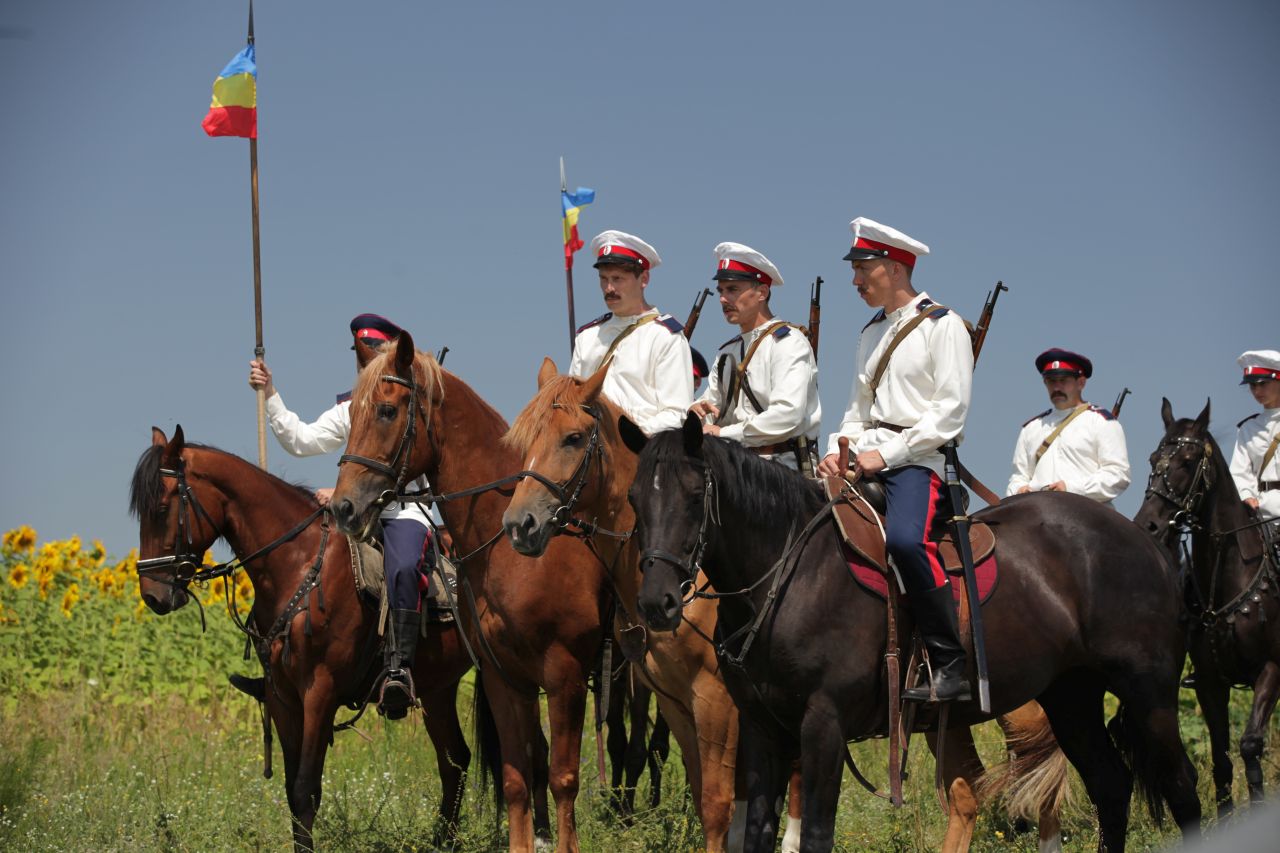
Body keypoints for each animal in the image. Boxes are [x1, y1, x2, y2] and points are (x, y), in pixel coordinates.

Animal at [129, 427, 476, 845]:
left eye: (163, 508)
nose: (153, 595)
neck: (298, 563)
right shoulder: (283, 698)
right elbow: (293, 791)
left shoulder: (319, 693)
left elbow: (305, 789)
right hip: (438, 688)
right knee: (454, 760)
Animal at [330, 333, 609, 850]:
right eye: (351, 413)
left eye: (386, 411)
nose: (343, 507)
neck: (505, 547)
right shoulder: (506, 676)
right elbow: (518, 775)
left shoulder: (565, 675)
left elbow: (563, 777)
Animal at [627, 412, 1198, 850]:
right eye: (635, 497)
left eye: (694, 494)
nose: (657, 601)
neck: (792, 572)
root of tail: (1146, 543)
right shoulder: (763, 728)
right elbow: (756, 833)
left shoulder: (823, 725)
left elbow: (815, 834)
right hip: (1070, 697)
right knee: (1111, 788)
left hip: (1149, 692)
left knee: (1182, 788)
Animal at [1136, 399, 1274, 809]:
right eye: (1154, 458)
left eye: (1187, 460)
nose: (1149, 524)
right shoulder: (1210, 684)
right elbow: (1221, 761)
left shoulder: (1271, 669)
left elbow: (1249, 745)